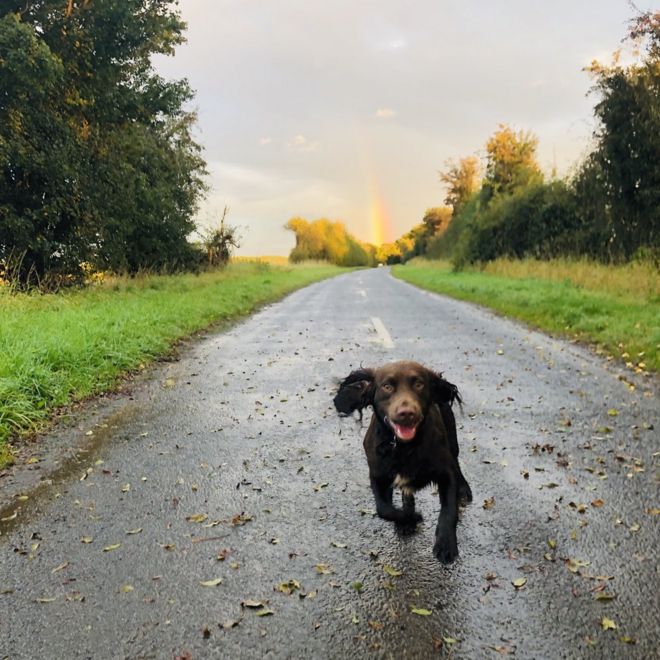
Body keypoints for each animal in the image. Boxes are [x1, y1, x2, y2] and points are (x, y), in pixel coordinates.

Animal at [336, 358, 470, 564]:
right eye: (387, 386)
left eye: (419, 384)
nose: (407, 413)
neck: (404, 446)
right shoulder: (378, 475)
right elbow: (384, 509)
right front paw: (410, 518)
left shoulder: (445, 472)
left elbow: (448, 510)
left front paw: (446, 544)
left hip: (452, 435)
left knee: (456, 461)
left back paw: (463, 489)